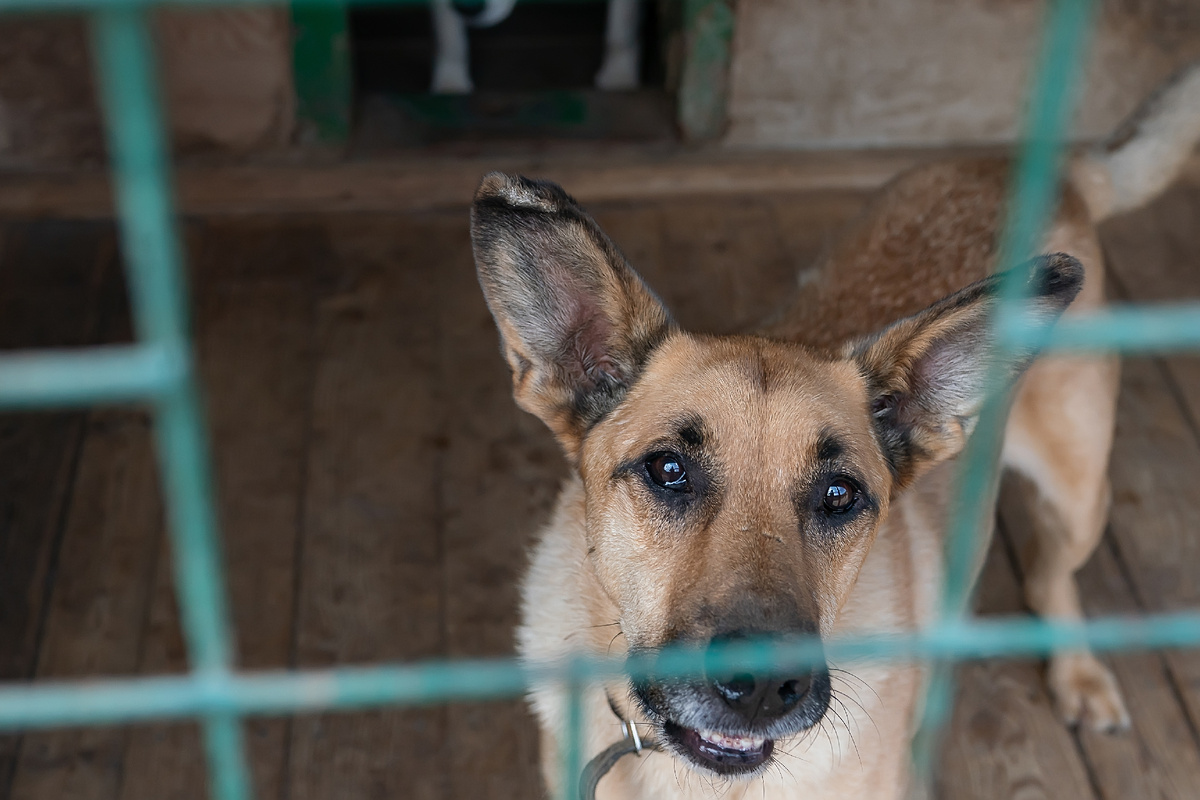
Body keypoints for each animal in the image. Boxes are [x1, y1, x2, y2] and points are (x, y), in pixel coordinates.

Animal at [465, 61, 1200, 796]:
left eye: (840, 495)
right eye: (667, 470)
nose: (764, 687)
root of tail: (1038, 168)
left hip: (1080, 496)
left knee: (1052, 576)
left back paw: (1078, 672)